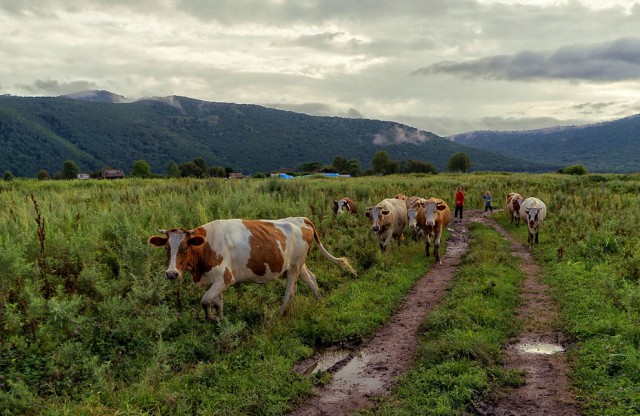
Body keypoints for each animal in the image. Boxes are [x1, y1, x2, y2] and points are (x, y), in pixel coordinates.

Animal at [147, 218, 352, 322]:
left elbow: (205, 301)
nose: (171, 273)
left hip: (294, 267)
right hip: (298, 265)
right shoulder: (214, 280)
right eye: (167, 248)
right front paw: (220, 323)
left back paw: (276, 315)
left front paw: (212, 320)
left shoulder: (225, 278)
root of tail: (301, 219)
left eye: (185, 248)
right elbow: (217, 303)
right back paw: (319, 303)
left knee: (290, 292)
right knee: (312, 280)